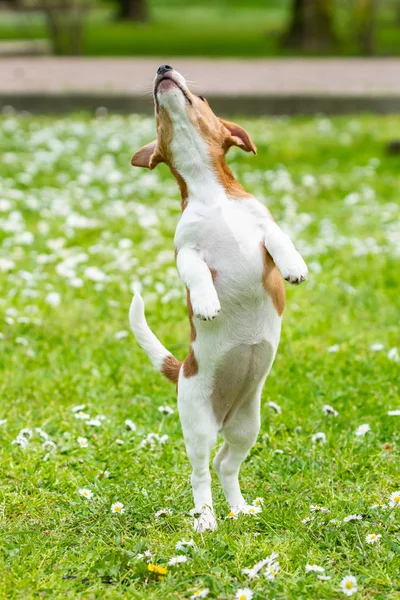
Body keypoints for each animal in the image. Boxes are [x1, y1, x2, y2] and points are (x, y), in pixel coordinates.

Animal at [128, 65, 306, 532]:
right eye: (155, 111)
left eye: (204, 97)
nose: (162, 68)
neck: (211, 195)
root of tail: (181, 370)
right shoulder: (186, 251)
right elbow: (195, 273)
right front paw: (206, 303)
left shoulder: (263, 226)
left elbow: (280, 239)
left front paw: (294, 266)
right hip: (199, 425)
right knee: (201, 473)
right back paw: (206, 519)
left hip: (247, 425)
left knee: (227, 464)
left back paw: (240, 508)